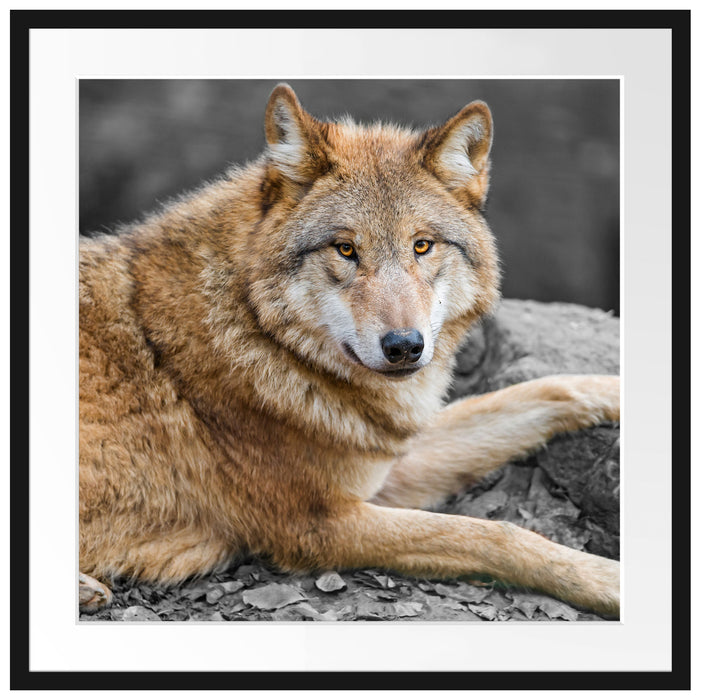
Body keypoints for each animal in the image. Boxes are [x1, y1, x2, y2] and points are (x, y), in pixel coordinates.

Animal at [79, 84, 620, 618]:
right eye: (345, 249)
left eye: (422, 246)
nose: (404, 346)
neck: (257, 332)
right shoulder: (321, 524)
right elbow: (494, 535)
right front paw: (606, 579)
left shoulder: (385, 462)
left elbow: (545, 390)